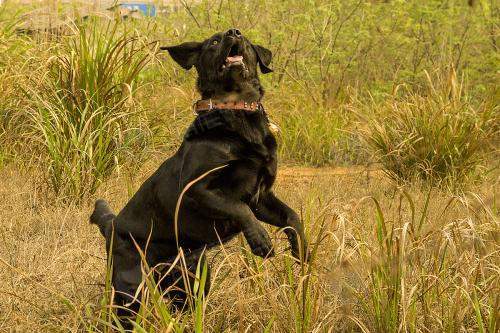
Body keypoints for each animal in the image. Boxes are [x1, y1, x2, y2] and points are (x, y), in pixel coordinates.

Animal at [90, 29, 308, 318]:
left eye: (245, 39)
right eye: (214, 41)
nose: (233, 32)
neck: (235, 110)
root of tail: (111, 224)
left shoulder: (261, 196)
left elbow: (291, 216)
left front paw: (302, 250)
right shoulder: (198, 189)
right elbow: (238, 208)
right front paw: (260, 240)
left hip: (192, 278)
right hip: (130, 290)